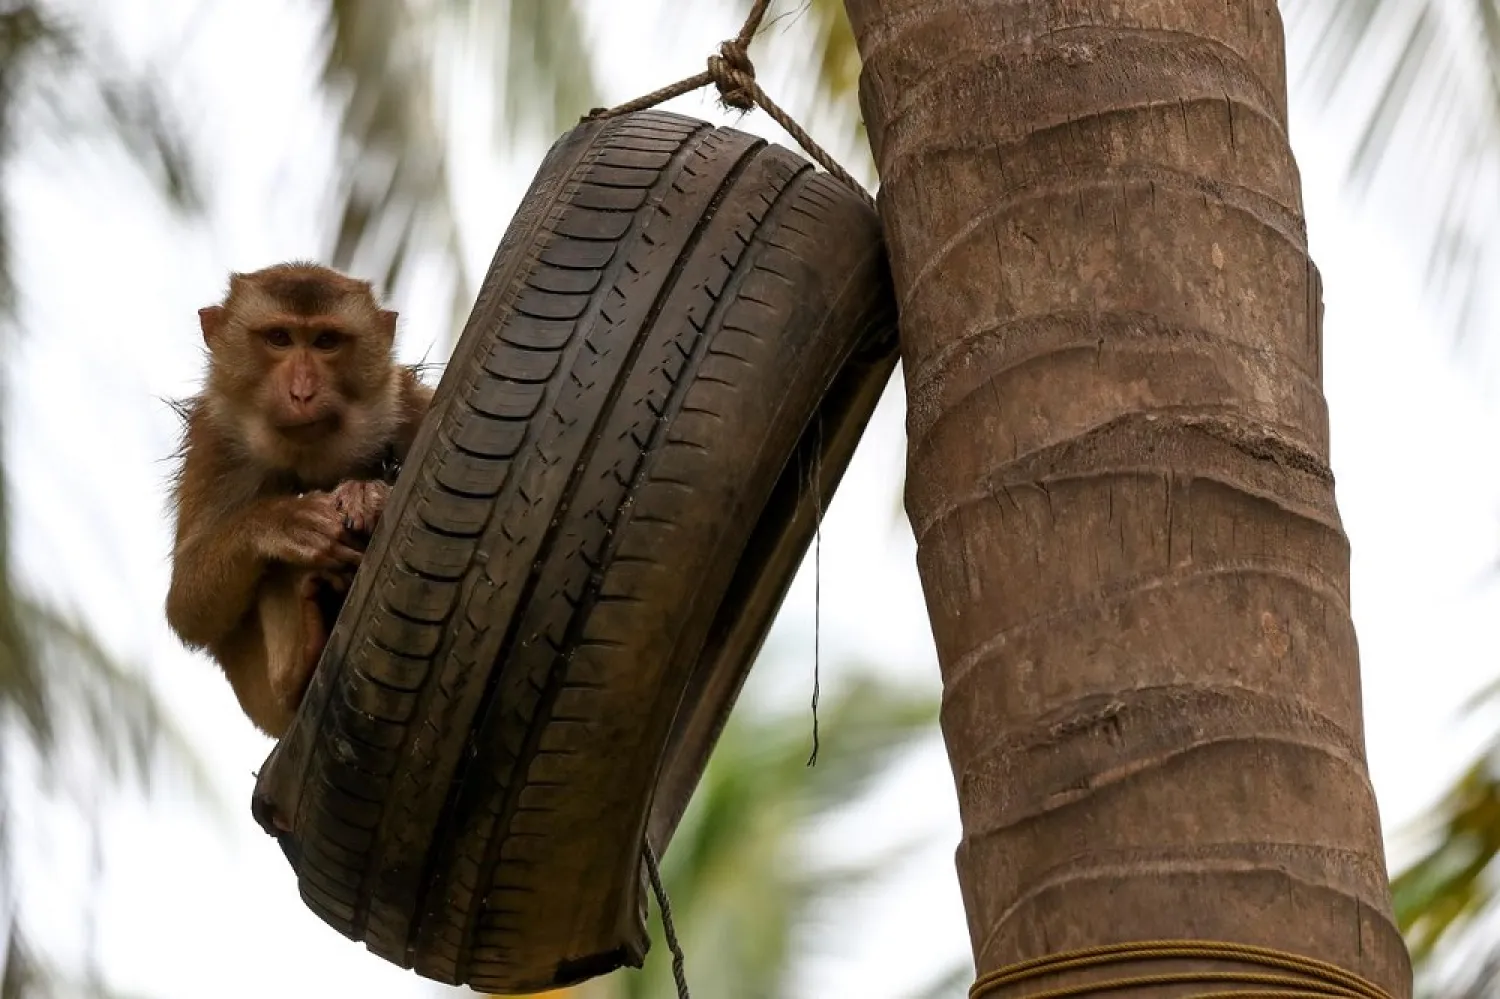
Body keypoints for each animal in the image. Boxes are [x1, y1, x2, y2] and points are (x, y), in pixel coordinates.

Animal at [165, 261, 434, 739]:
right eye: (279, 338)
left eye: (326, 341)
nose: (303, 393)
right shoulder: (213, 442)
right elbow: (187, 606)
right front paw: (284, 522)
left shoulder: (408, 404)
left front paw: (366, 493)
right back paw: (295, 668)